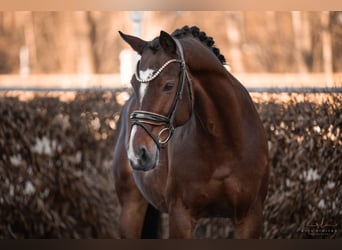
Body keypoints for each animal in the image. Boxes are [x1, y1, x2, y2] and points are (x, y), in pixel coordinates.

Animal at [113, 25, 268, 238]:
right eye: (133, 84)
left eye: (168, 85)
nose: (138, 154)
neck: (226, 144)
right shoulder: (181, 216)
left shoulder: (250, 218)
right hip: (130, 208)